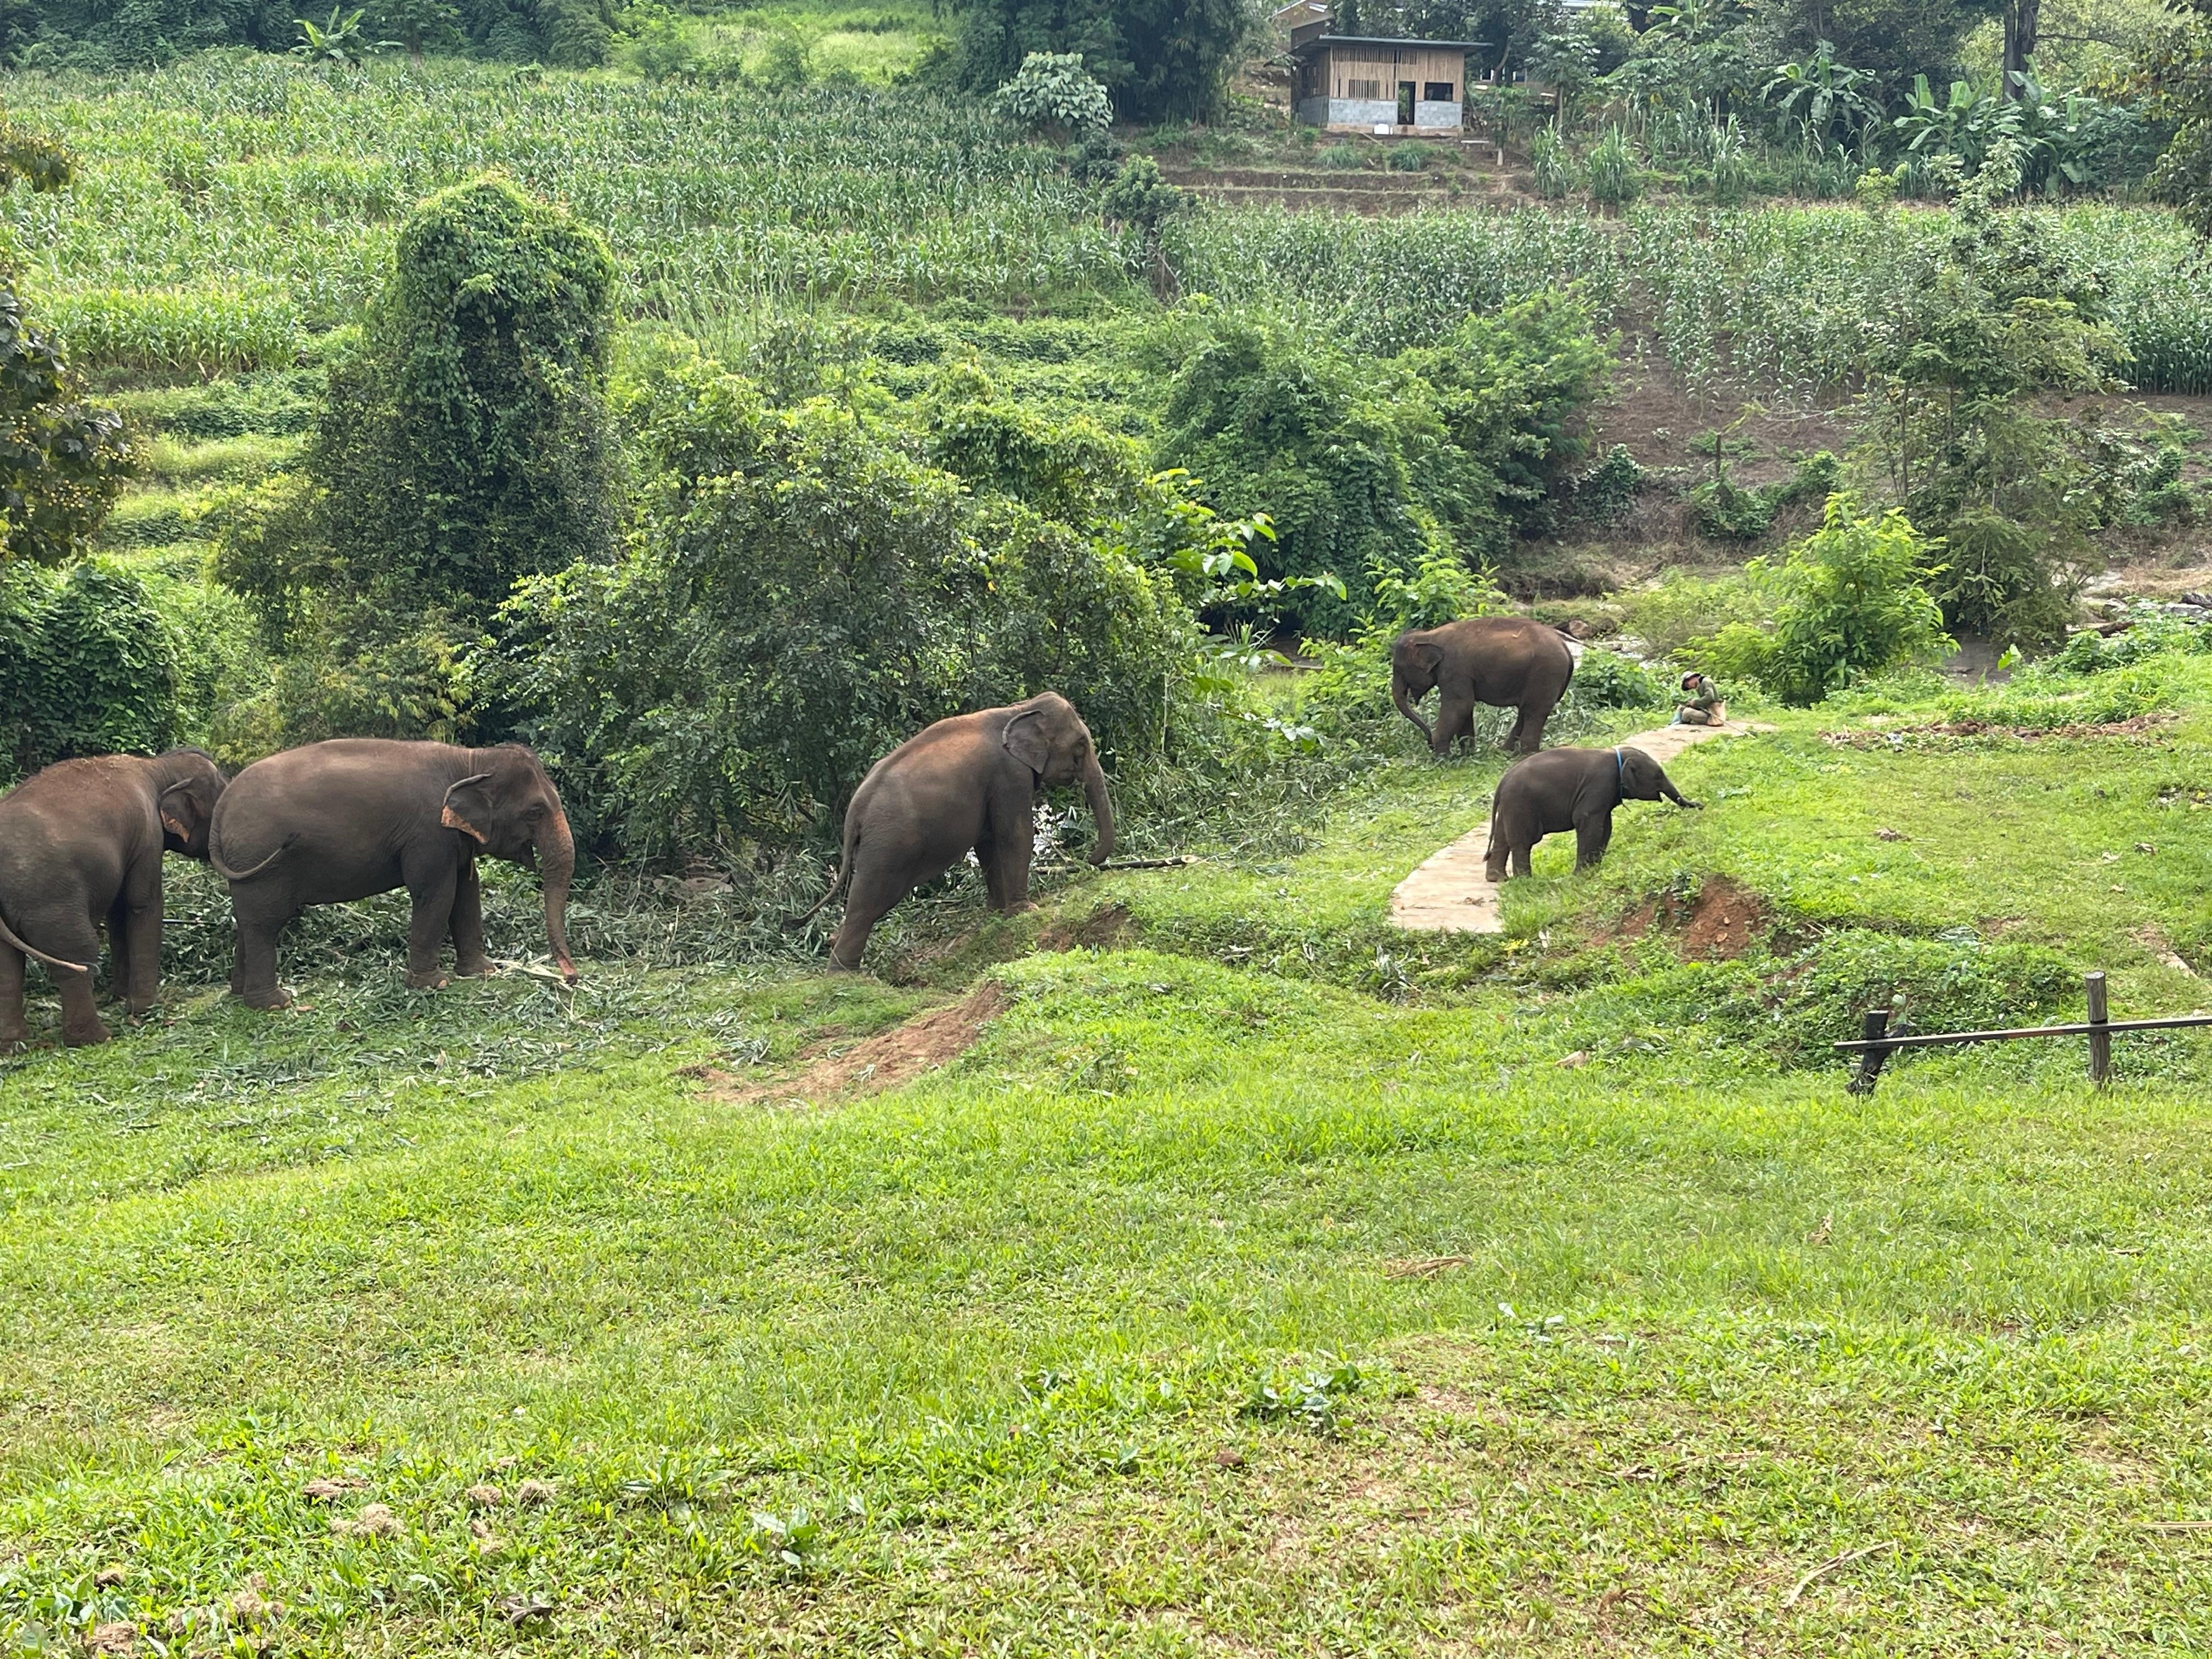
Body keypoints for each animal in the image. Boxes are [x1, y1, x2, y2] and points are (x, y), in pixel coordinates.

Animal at [0, 748, 228, 1048]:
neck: (157, 768)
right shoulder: (147, 835)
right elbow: (143, 903)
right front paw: (145, 1008)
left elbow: (118, 912)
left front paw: (120, 996)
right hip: (51, 899)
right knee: (77, 955)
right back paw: (96, 1037)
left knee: (6, 967)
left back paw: (14, 1046)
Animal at [208, 740, 576, 1008]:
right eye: (536, 811)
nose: (570, 977)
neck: (470, 760)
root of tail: (222, 804)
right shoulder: (428, 835)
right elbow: (436, 893)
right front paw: (434, 984)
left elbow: (468, 892)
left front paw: (482, 972)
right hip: (259, 857)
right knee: (265, 923)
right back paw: (275, 1004)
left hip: (245, 865)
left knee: (249, 921)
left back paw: (241, 996)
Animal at [795, 692, 1114, 971]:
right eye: (1081, 745)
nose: (1088, 858)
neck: (1019, 709)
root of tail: (855, 812)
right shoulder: (1009, 775)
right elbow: (1016, 834)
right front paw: (1026, 911)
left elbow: (988, 845)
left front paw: (997, 913)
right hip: (888, 844)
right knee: (868, 901)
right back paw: (843, 974)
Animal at [1391, 617, 1578, 758]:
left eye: (1399, 669)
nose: (1429, 743)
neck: (1429, 635)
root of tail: (1566, 648)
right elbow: (1465, 708)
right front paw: (1466, 755)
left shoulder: (1454, 670)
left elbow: (1460, 705)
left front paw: (1441, 759)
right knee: (1526, 710)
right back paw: (1506, 751)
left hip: (1545, 672)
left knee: (1535, 711)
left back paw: (1526, 754)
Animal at [1484, 745, 1701, 881]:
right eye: (1658, 775)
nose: (1701, 805)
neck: (1616, 754)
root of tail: (1501, 784)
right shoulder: (1600, 784)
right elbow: (1587, 822)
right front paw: (1581, 876)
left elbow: (1606, 826)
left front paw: (1594, 869)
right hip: (1521, 805)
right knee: (1522, 842)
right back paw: (1526, 881)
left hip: (1510, 806)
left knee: (1502, 839)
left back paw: (1498, 879)